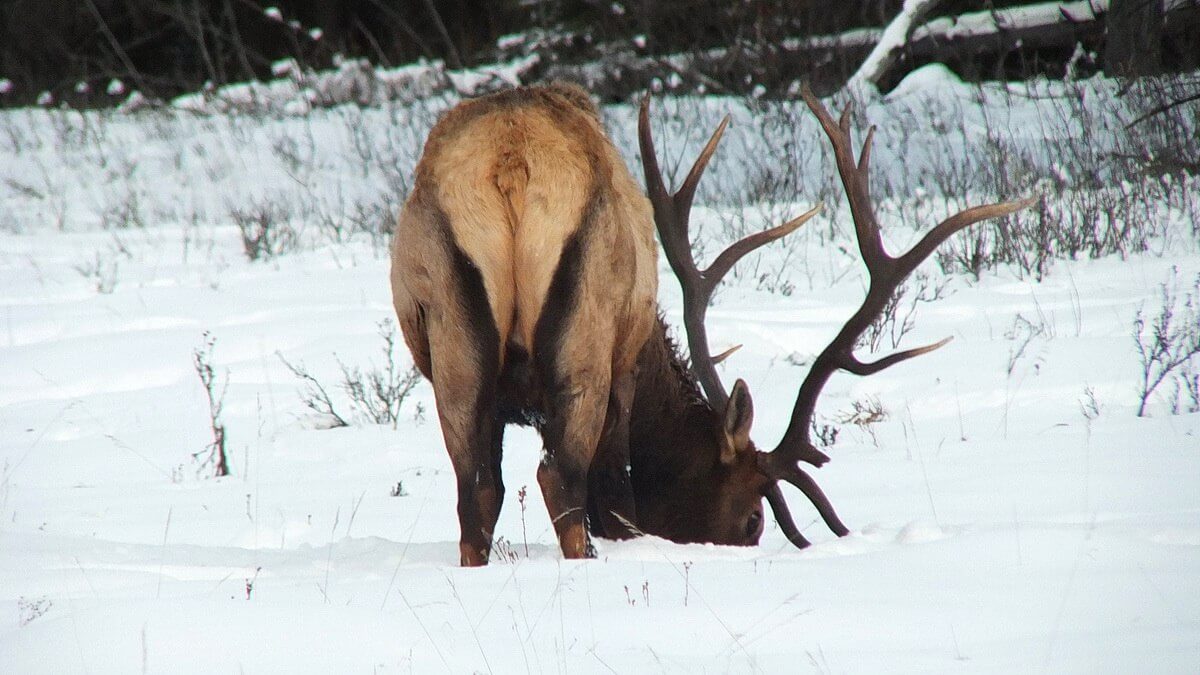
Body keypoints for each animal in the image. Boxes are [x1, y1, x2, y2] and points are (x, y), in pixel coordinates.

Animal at [393, 81, 1032, 564]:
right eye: (753, 518)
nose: (746, 542)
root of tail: (511, 167)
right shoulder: (622, 371)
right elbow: (617, 500)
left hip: (453, 342)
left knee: (478, 491)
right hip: (585, 338)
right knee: (561, 481)